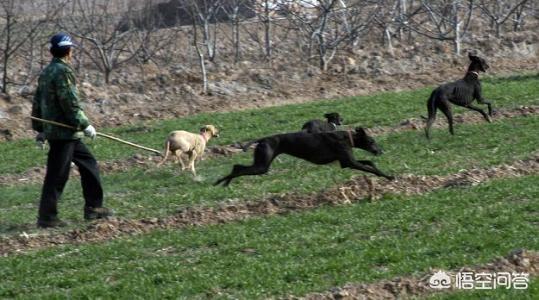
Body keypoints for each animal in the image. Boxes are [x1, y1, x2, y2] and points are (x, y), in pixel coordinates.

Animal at [215, 127, 396, 186]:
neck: (347, 137)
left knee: (237, 167)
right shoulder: (349, 162)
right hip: (262, 165)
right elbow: (370, 168)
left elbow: (369, 162)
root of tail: (263, 139)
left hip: (261, 163)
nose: (380, 151)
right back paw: (220, 181)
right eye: (371, 141)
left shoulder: (346, 161)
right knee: (238, 169)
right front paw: (389, 177)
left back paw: (225, 182)